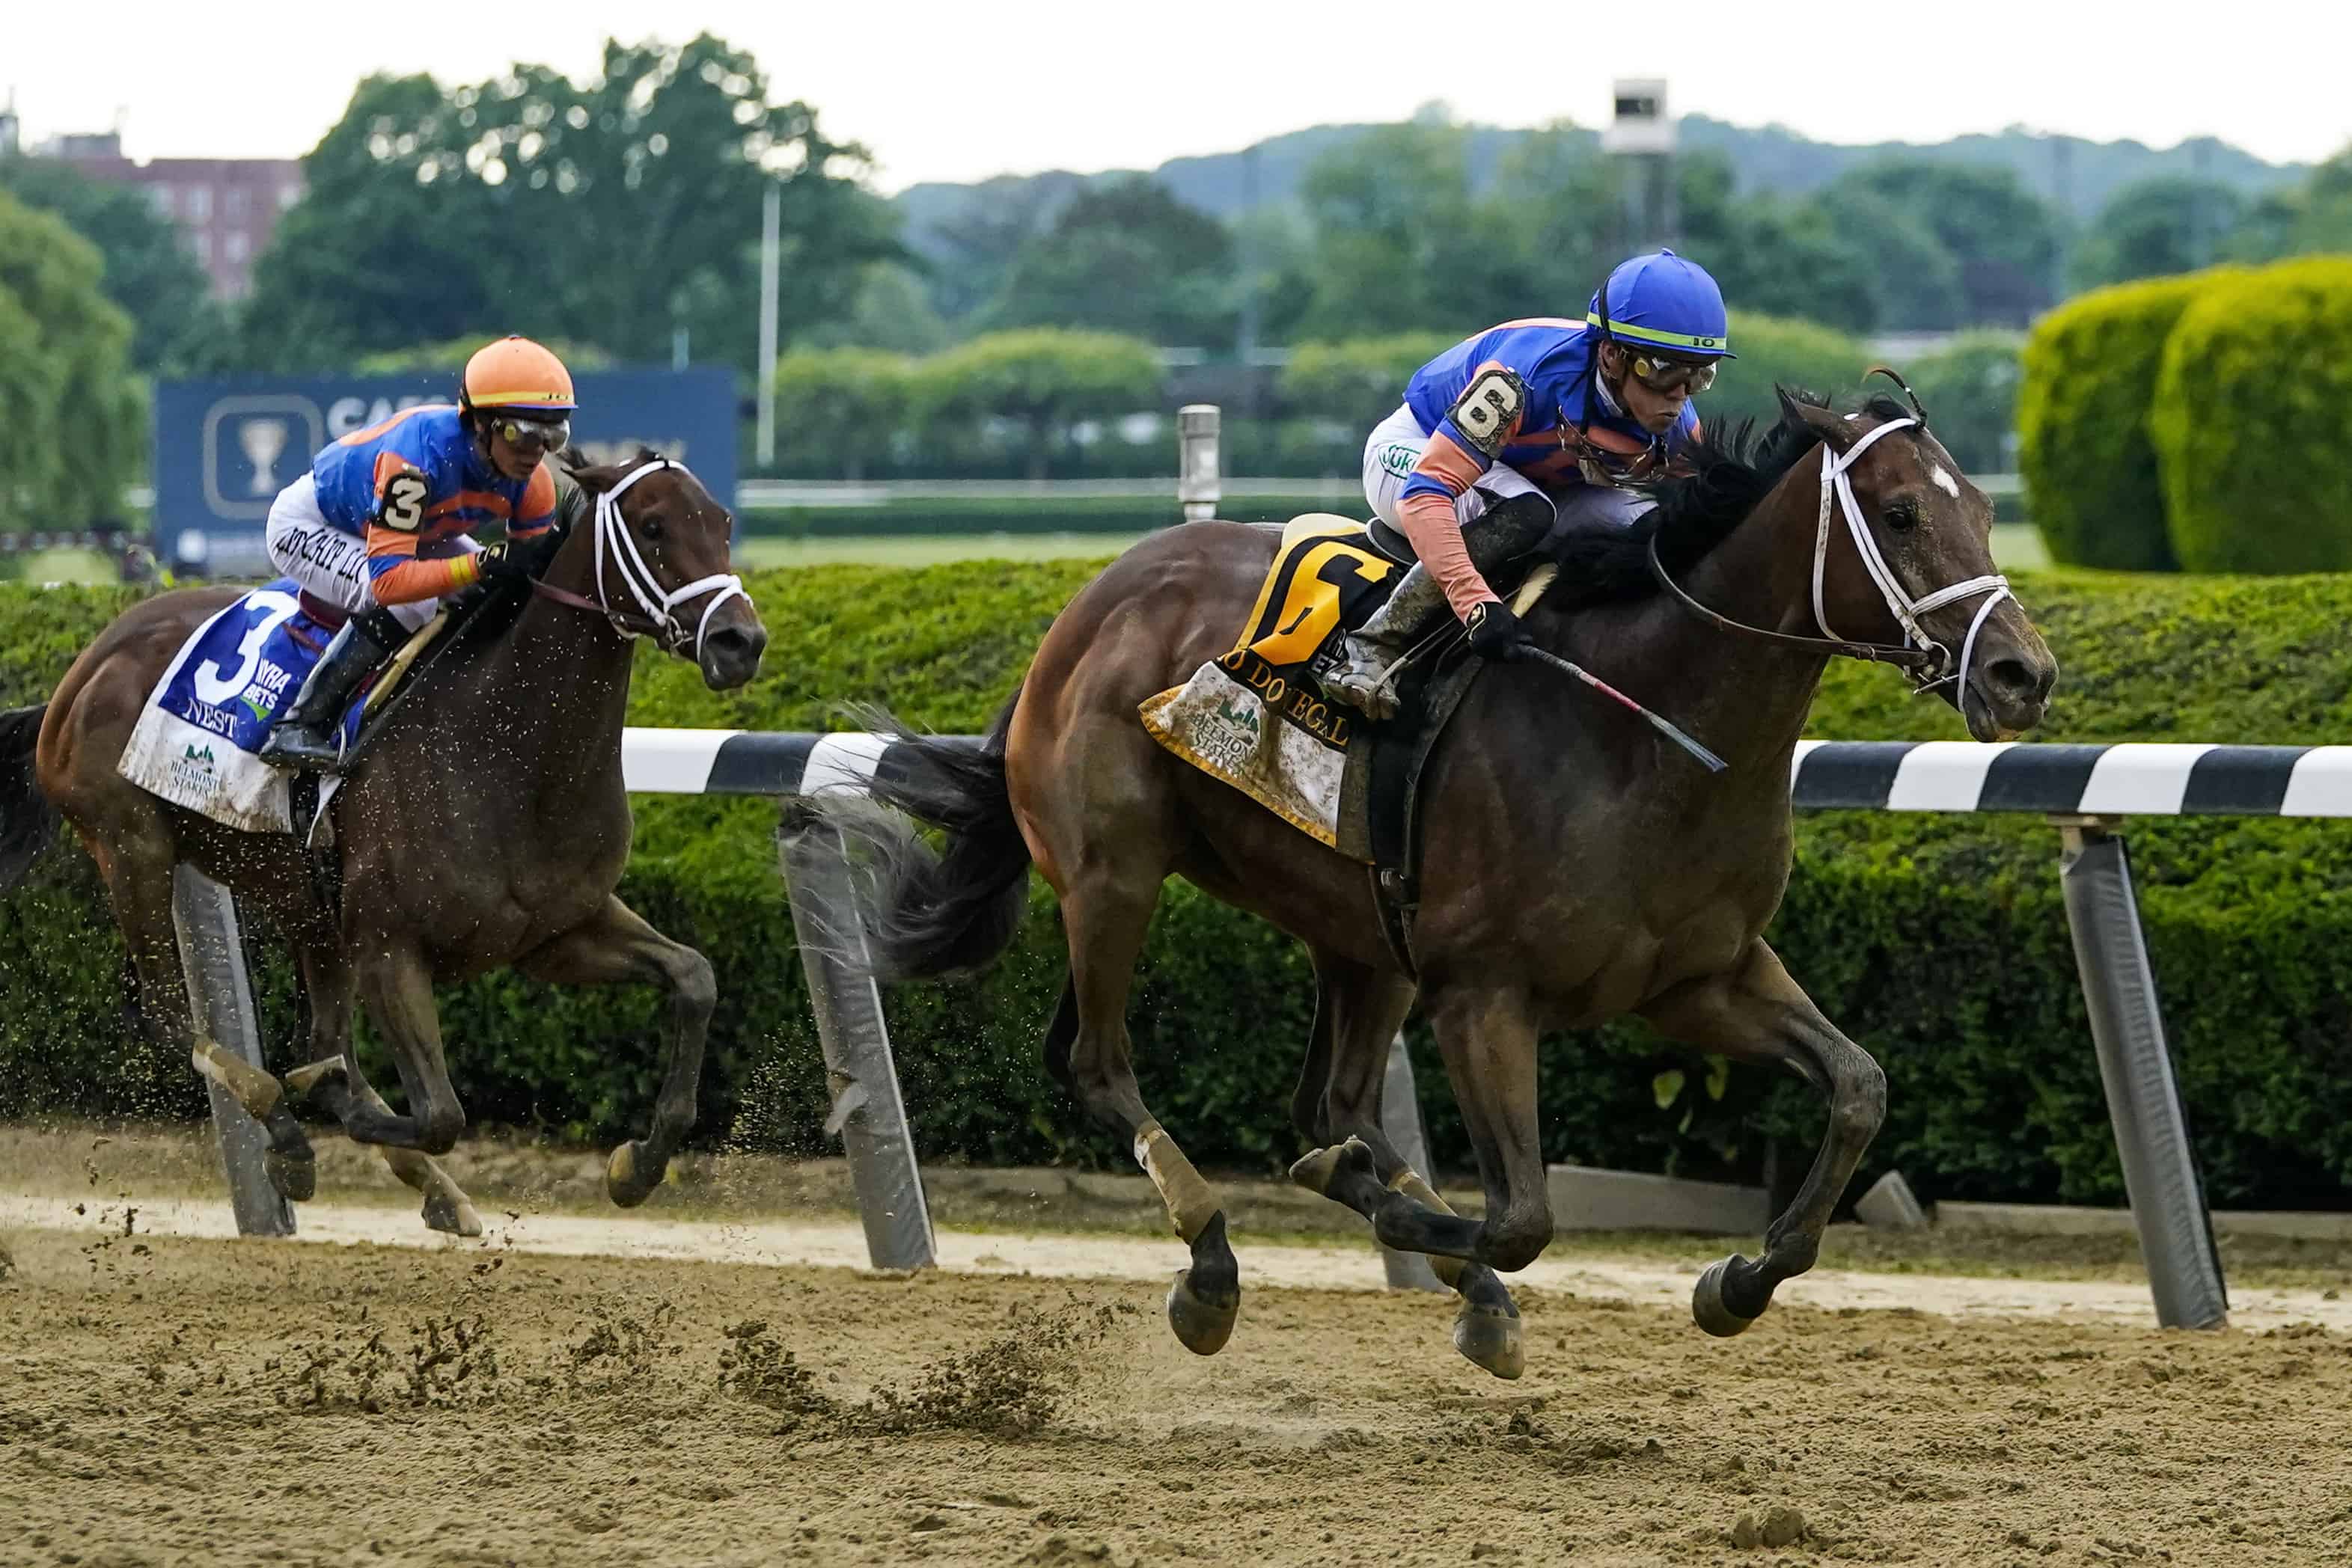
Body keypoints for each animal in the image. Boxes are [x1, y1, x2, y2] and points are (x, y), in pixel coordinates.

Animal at [0, 453, 762, 1222]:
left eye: (723, 521)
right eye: (653, 526)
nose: (741, 641)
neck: (506, 747)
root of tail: (83, 669)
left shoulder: (556, 932)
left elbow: (695, 977)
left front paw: (638, 1165)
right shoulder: (390, 950)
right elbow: (439, 1114)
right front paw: (321, 1106)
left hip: (303, 903)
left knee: (318, 1035)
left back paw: (421, 1182)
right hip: (134, 848)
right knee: (163, 1011)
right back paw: (293, 1136)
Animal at [832, 390, 2060, 1373]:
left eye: (1981, 507)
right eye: (1898, 514)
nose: (2020, 674)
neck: (1645, 728)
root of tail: (1087, 605)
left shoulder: (1699, 977)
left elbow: (1857, 1086)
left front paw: (1734, 1282)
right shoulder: (1483, 996)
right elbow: (1518, 1216)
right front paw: (1423, 1238)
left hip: (1355, 934)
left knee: (1324, 1102)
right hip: (1112, 877)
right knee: (1098, 1064)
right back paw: (1215, 1268)